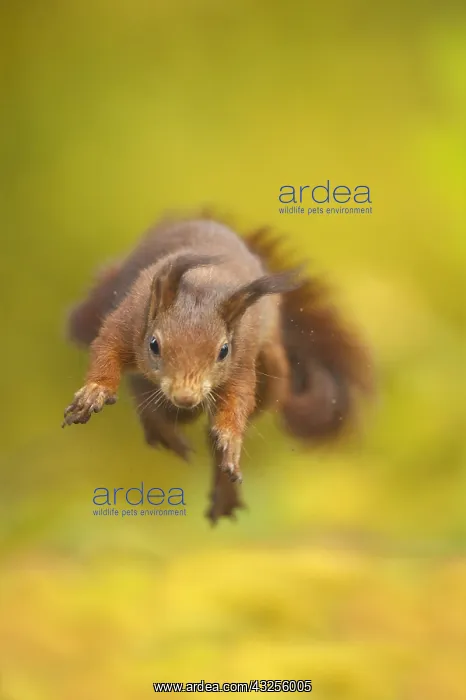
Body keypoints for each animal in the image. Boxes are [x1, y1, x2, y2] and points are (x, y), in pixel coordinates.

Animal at [63, 216, 373, 523]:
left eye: (223, 350)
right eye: (154, 344)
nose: (186, 397)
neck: (204, 284)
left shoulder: (242, 358)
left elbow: (238, 399)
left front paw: (229, 440)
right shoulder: (129, 320)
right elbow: (106, 348)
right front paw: (94, 392)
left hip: (273, 366)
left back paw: (222, 485)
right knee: (145, 400)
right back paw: (164, 430)